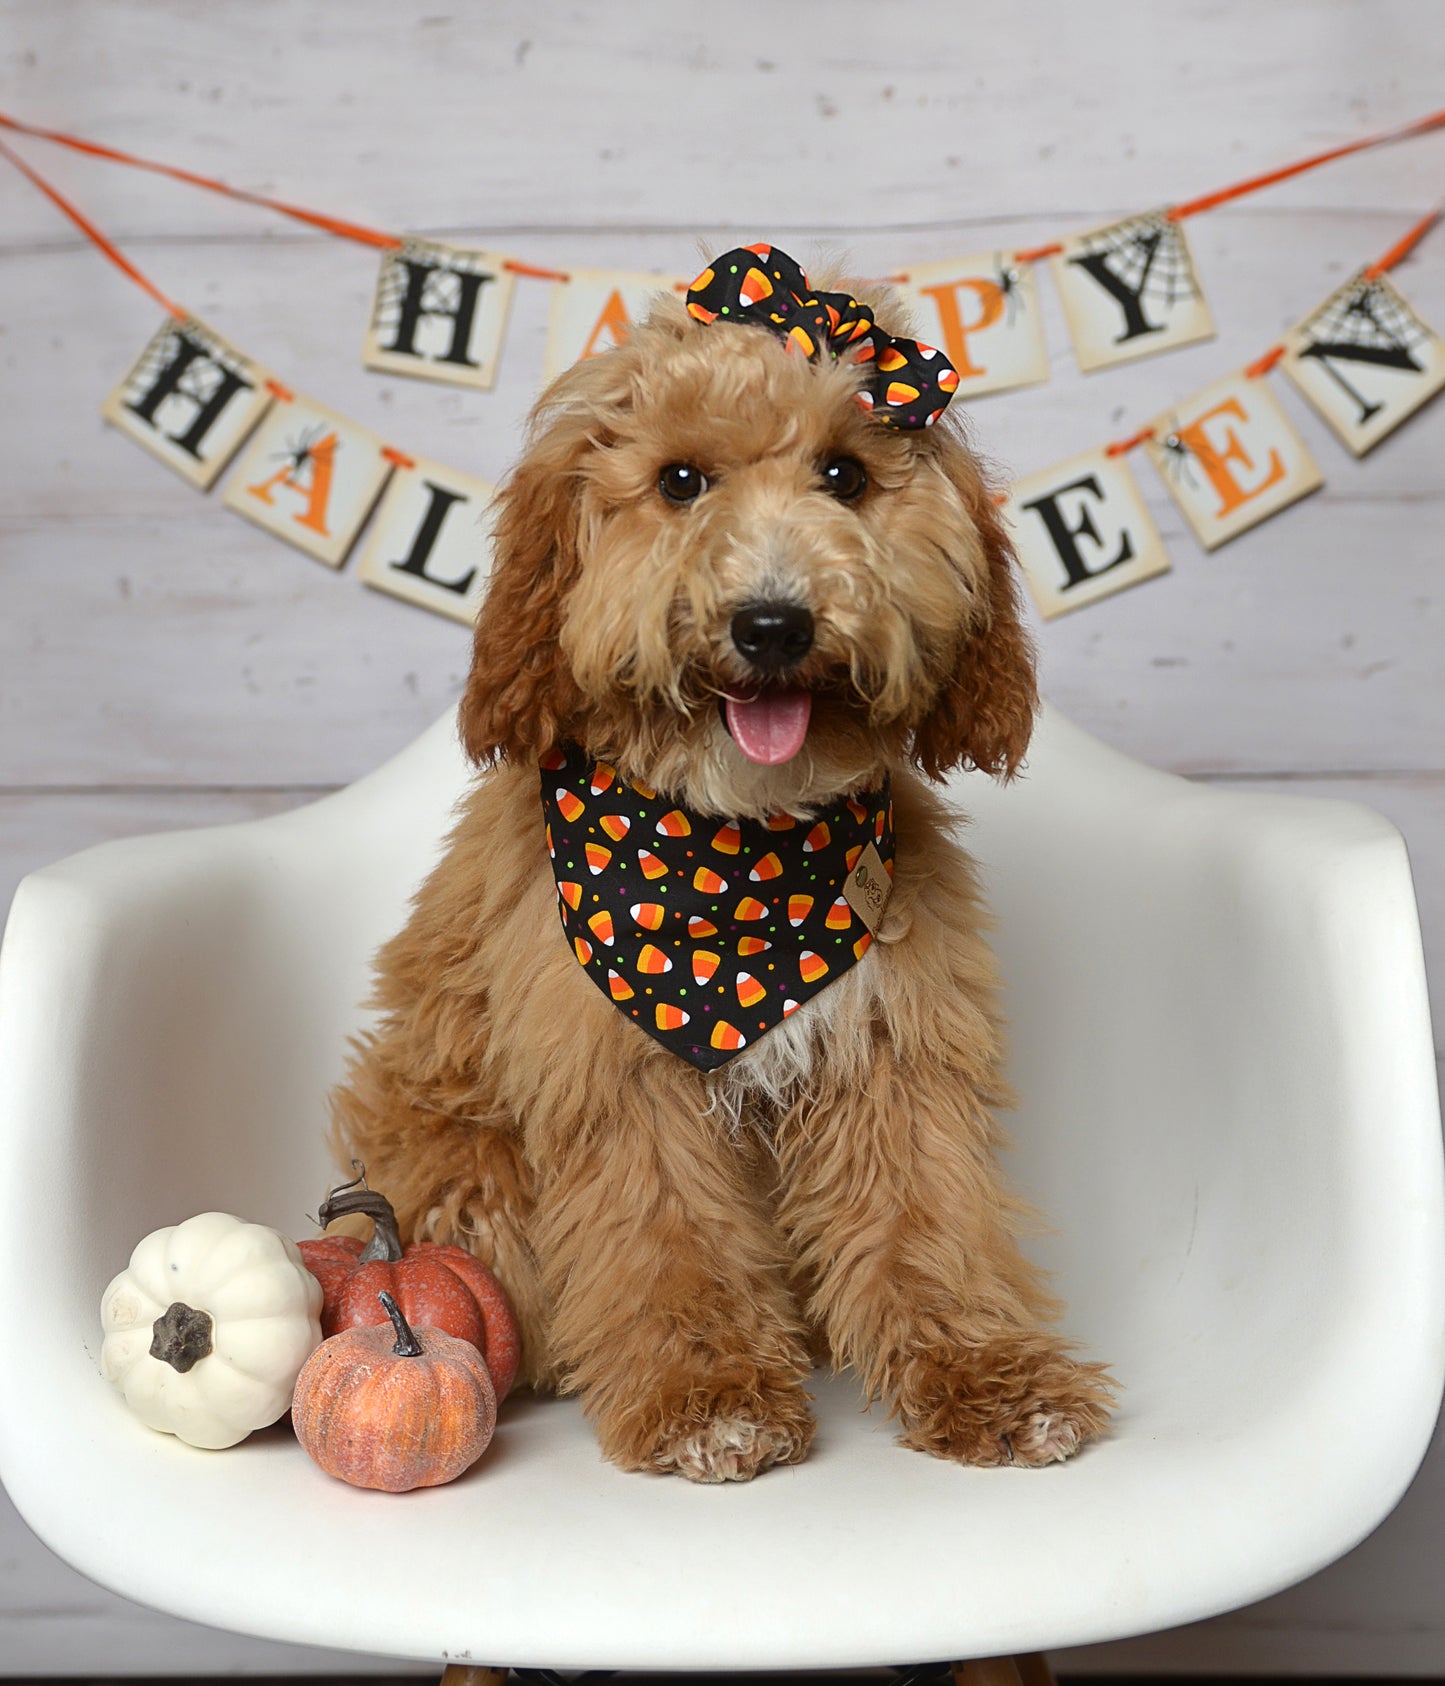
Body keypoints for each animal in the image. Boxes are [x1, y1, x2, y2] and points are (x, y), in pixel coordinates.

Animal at [330, 244, 1119, 1483]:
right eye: (679, 481)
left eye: (845, 474)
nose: (772, 624)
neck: (737, 857)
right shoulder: (620, 1081)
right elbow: (668, 1241)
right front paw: (707, 1398)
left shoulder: (891, 1056)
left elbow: (927, 1224)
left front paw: (987, 1378)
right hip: (462, 1170)